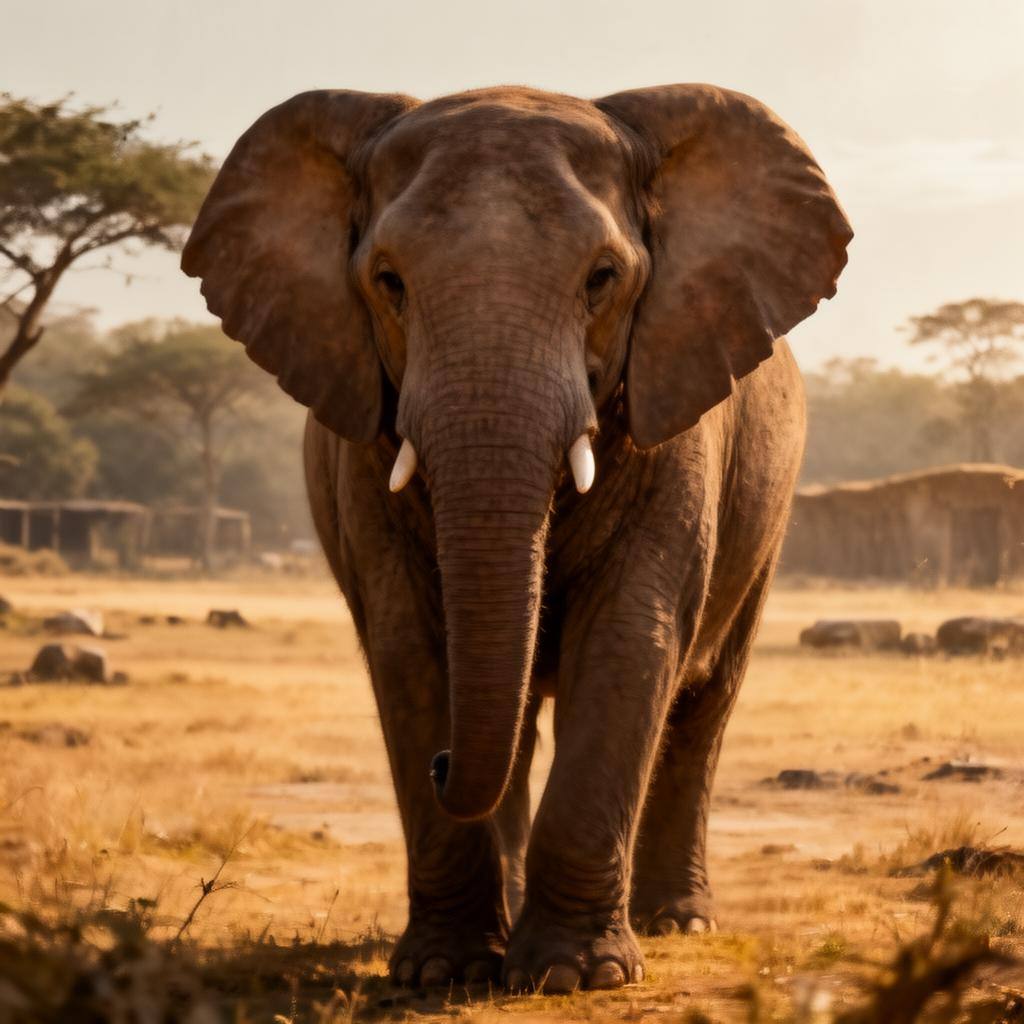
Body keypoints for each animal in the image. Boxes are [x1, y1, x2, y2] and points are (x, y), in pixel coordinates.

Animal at [182, 83, 851, 993]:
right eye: (388, 281)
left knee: (704, 701)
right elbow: (410, 649)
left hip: (770, 511)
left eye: (603, 278)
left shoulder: (677, 416)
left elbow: (630, 641)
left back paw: (678, 921)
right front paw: (445, 971)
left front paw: (574, 976)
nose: (442, 764)